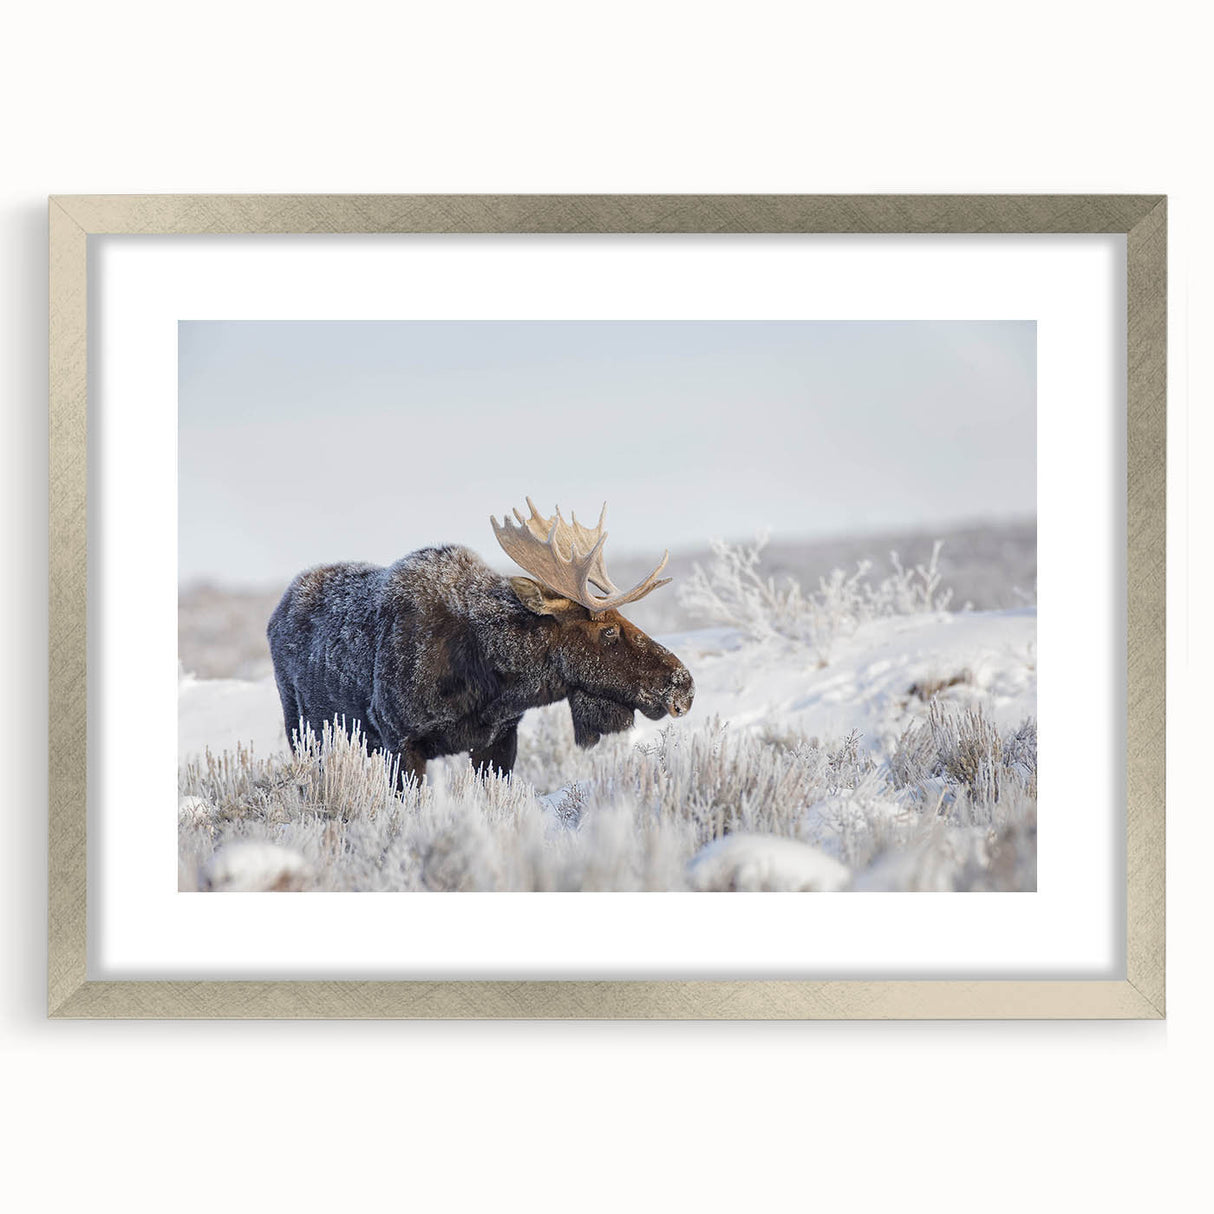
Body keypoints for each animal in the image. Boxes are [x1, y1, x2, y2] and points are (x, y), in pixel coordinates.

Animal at [267, 499, 695, 785]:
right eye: (608, 630)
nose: (684, 686)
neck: (490, 679)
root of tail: (276, 612)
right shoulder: (400, 741)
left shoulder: (499, 740)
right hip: (305, 734)